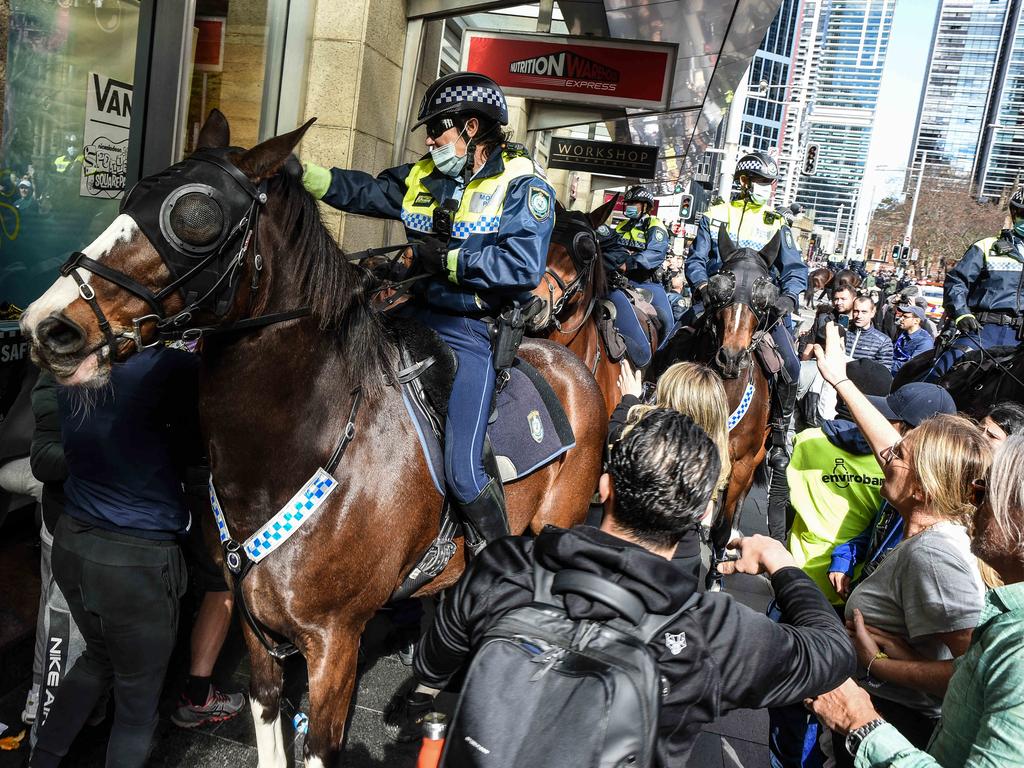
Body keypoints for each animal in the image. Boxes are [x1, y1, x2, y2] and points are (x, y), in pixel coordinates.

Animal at [19, 109, 602, 768]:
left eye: (195, 217)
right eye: (130, 196)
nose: (49, 326)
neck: (302, 450)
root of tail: (569, 362)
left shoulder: (334, 642)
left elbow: (322, 743)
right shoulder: (257, 629)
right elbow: (268, 713)